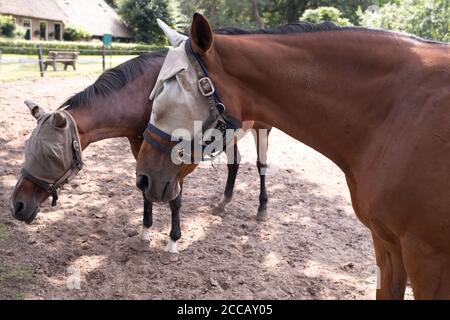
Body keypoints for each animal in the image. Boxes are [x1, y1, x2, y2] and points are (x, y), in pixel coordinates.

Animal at [9, 49, 270, 255]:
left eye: (50, 155)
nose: (17, 206)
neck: (147, 95)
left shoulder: (177, 161)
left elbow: (175, 199)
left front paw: (173, 240)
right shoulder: (143, 154)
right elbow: (146, 191)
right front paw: (146, 230)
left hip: (262, 128)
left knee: (261, 166)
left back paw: (262, 208)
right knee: (234, 163)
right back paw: (224, 202)